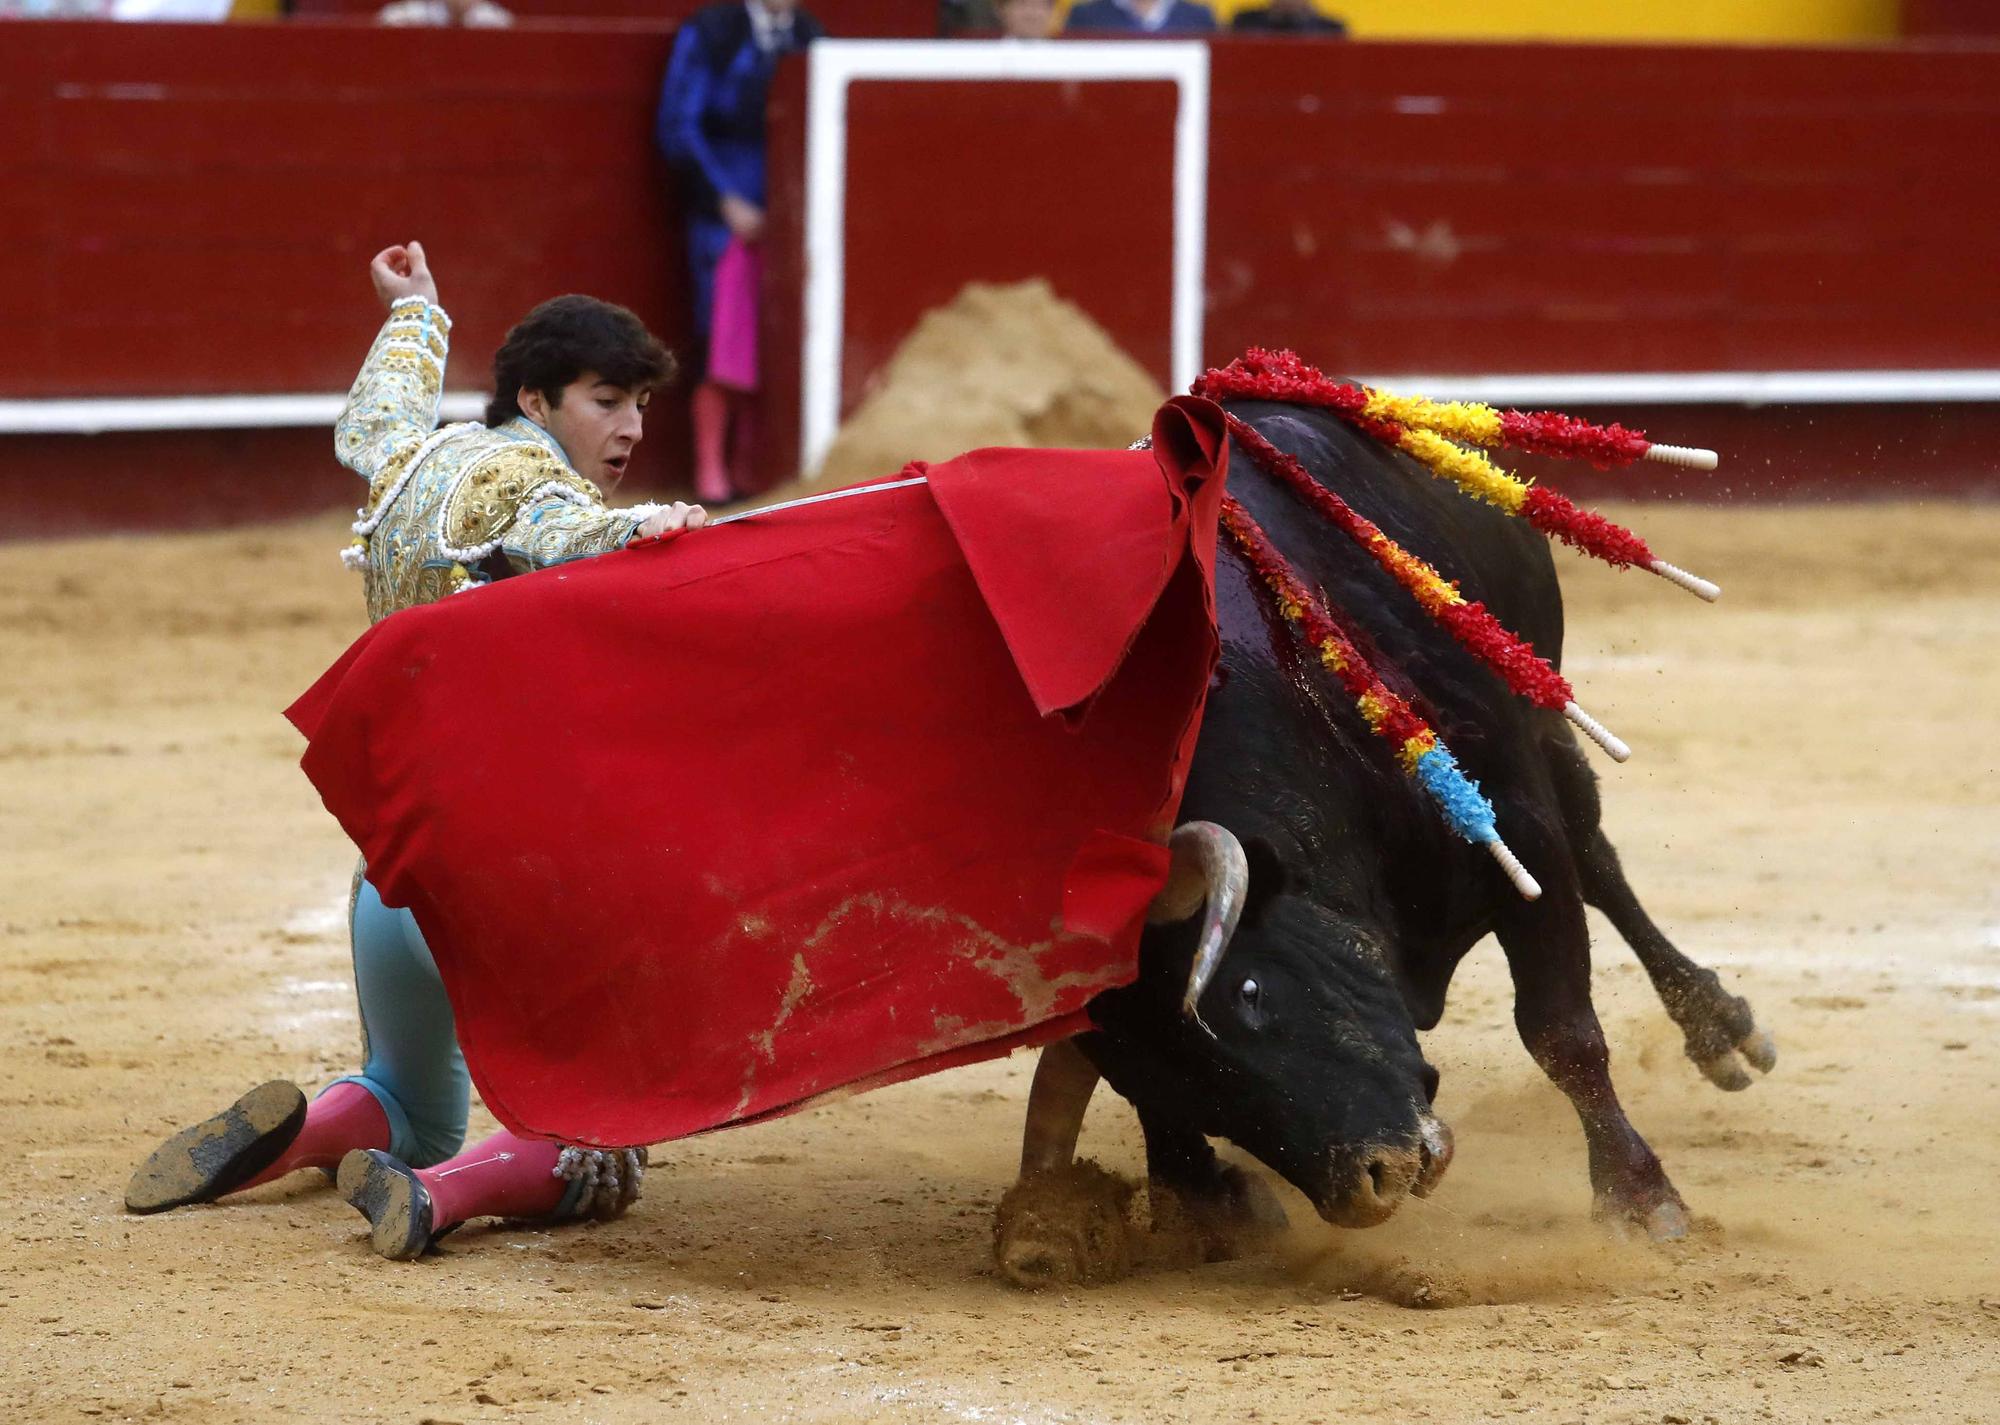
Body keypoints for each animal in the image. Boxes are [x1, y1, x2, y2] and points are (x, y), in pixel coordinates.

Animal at [992, 404, 1776, 1288]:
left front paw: (1643, 1200)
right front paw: (1209, 1205)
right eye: (1167, 1078)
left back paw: (1720, 1026)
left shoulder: (1514, 821)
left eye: (1249, 990)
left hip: (1542, 713)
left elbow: (1561, 1028)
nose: (1376, 1177)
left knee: (1598, 856)